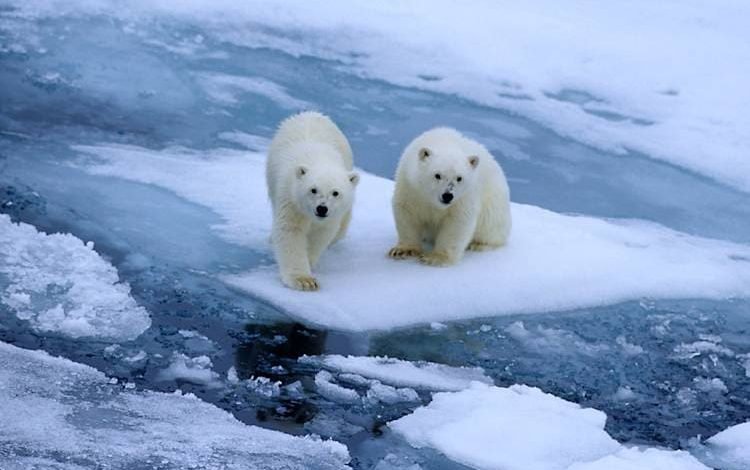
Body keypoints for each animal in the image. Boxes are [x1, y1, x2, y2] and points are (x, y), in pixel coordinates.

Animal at [266, 111, 359, 291]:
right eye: (313, 190)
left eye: (335, 193)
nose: (322, 208)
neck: (320, 160)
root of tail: (310, 113)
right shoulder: (291, 198)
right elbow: (290, 230)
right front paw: (303, 280)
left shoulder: (331, 216)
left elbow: (321, 233)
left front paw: (309, 263)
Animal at [388, 127, 511, 266]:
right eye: (437, 175)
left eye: (459, 178)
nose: (447, 196)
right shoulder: (410, 185)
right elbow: (407, 211)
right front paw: (403, 250)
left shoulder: (465, 196)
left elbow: (457, 222)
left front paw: (435, 257)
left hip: (494, 205)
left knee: (490, 227)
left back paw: (478, 244)